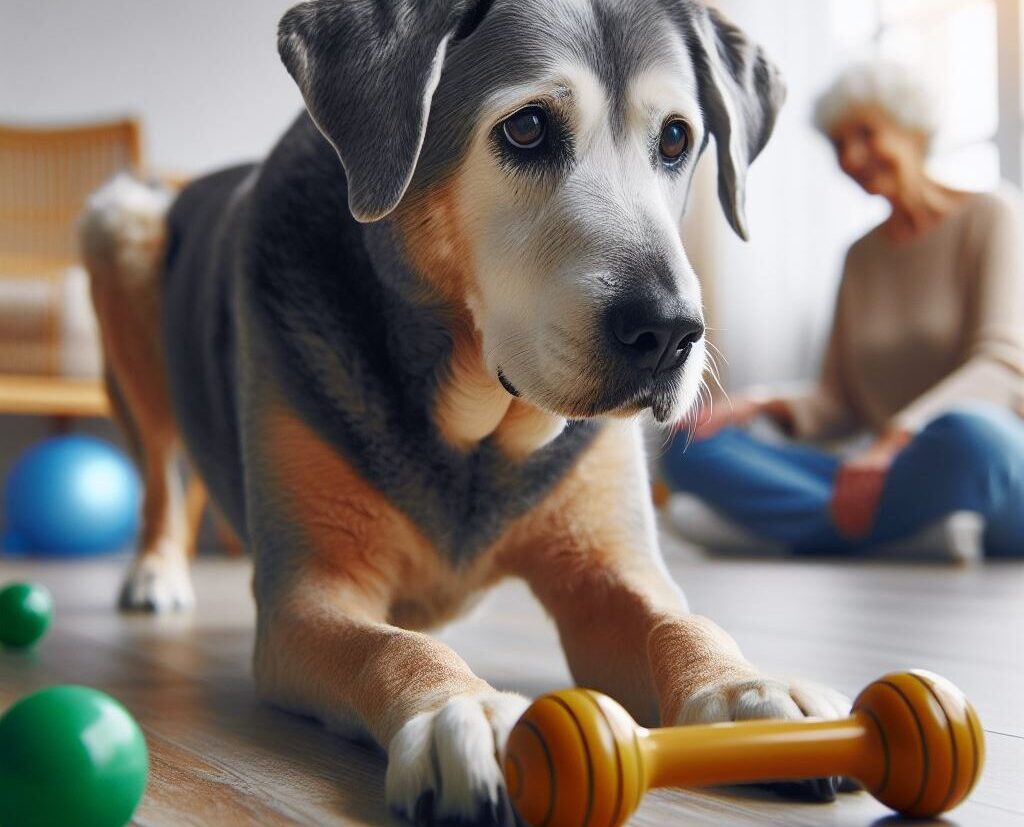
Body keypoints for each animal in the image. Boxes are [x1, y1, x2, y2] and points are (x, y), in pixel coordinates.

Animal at [79, 3, 847, 822]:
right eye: (527, 127)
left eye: (676, 138)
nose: (670, 332)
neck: (479, 431)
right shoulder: (310, 593)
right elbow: (394, 645)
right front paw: (466, 710)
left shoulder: (610, 567)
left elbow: (680, 621)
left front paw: (746, 688)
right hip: (117, 228)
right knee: (160, 467)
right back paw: (156, 573)